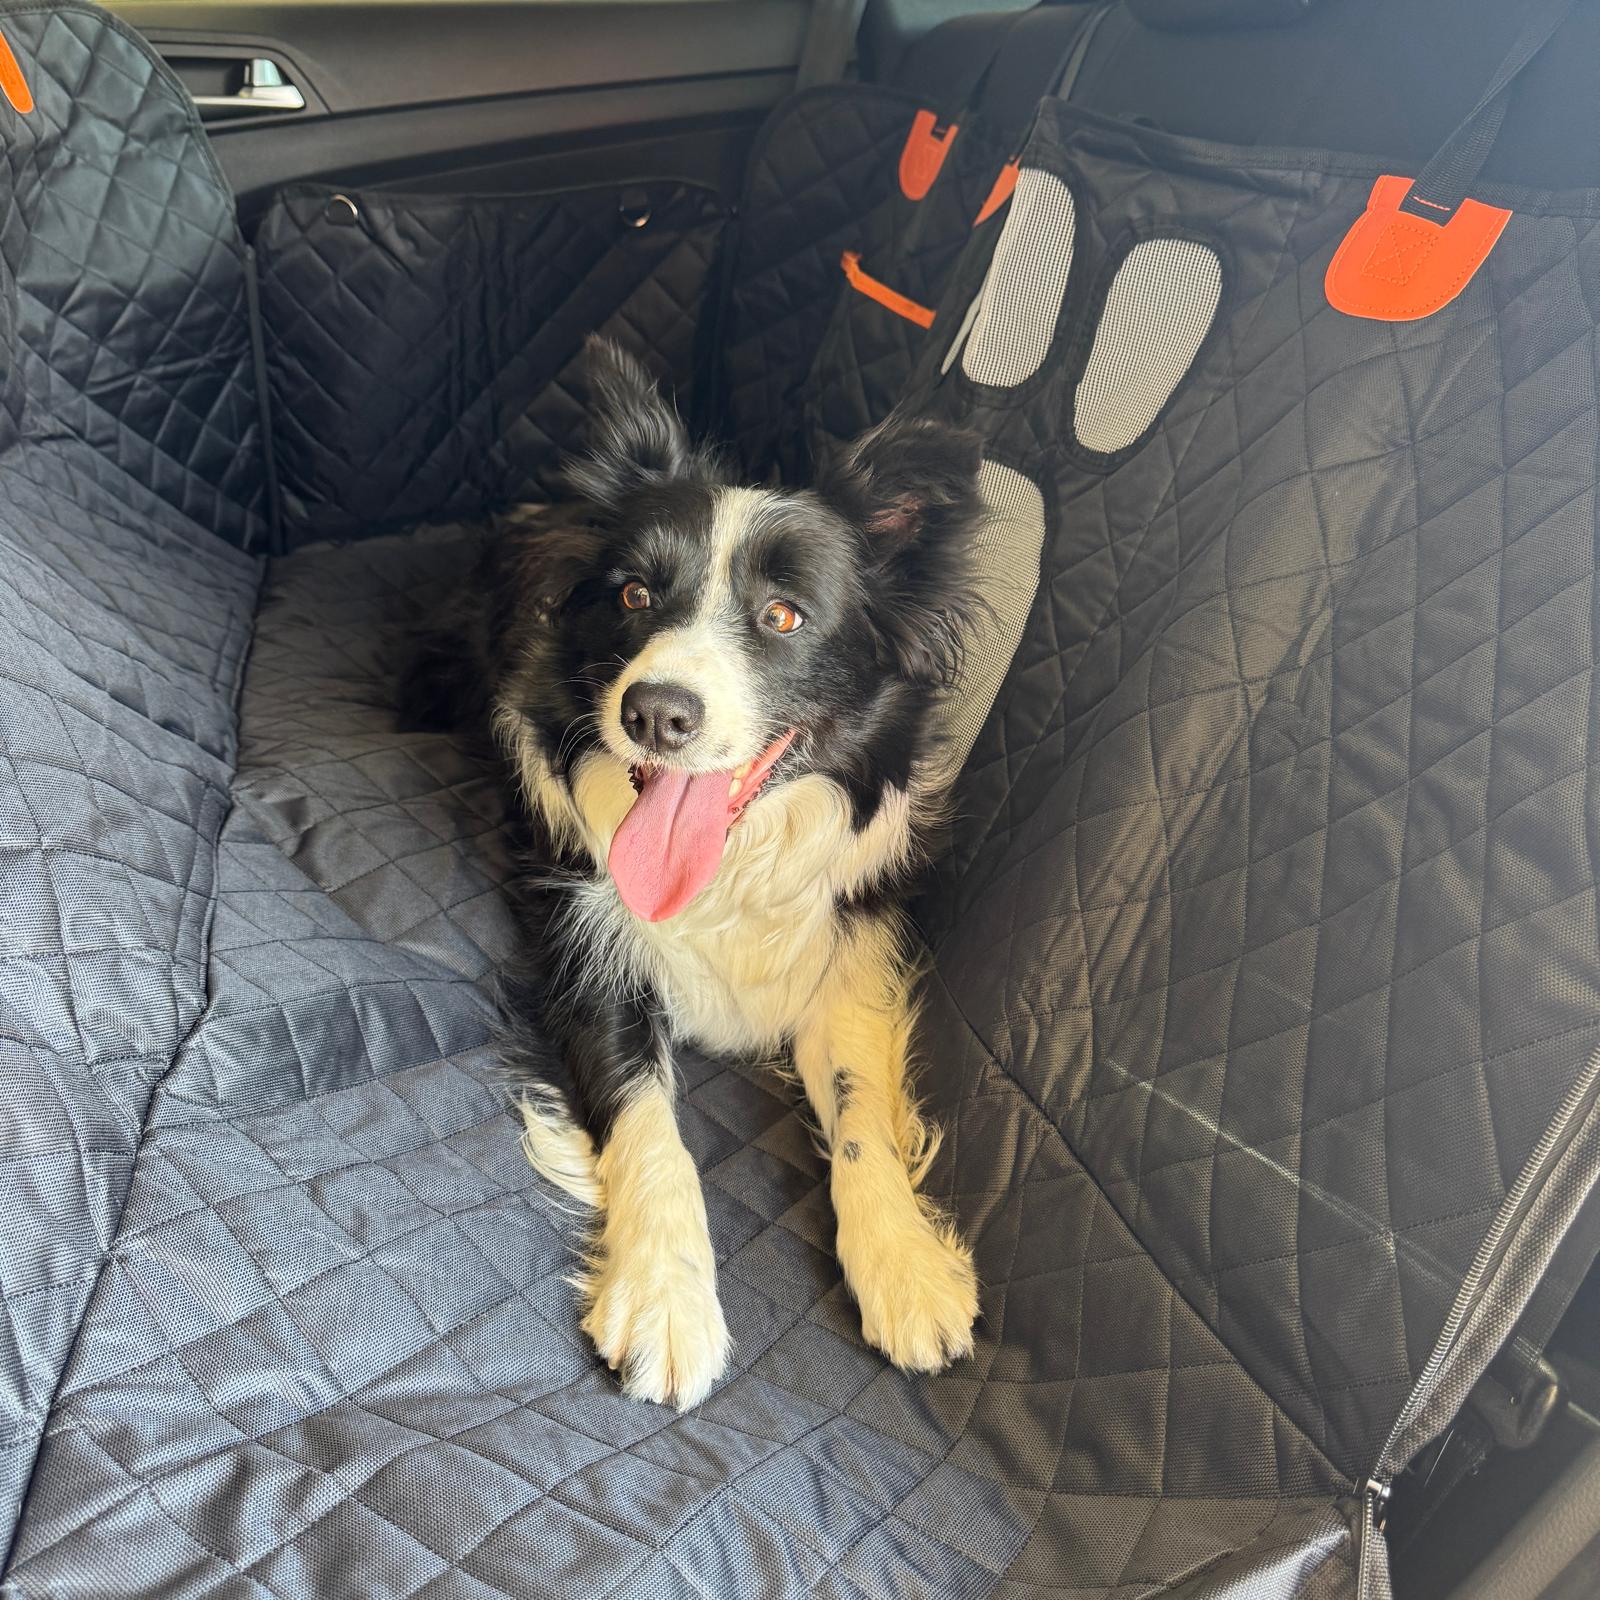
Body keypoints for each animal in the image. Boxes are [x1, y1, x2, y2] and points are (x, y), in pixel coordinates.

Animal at [405, 337, 985, 1408]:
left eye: (785, 616)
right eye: (635, 595)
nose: (655, 712)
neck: (729, 867)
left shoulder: (844, 945)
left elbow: (861, 1108)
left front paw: (905, 1264)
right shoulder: (586, 949)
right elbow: (650, 1122)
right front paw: (666, 1298)